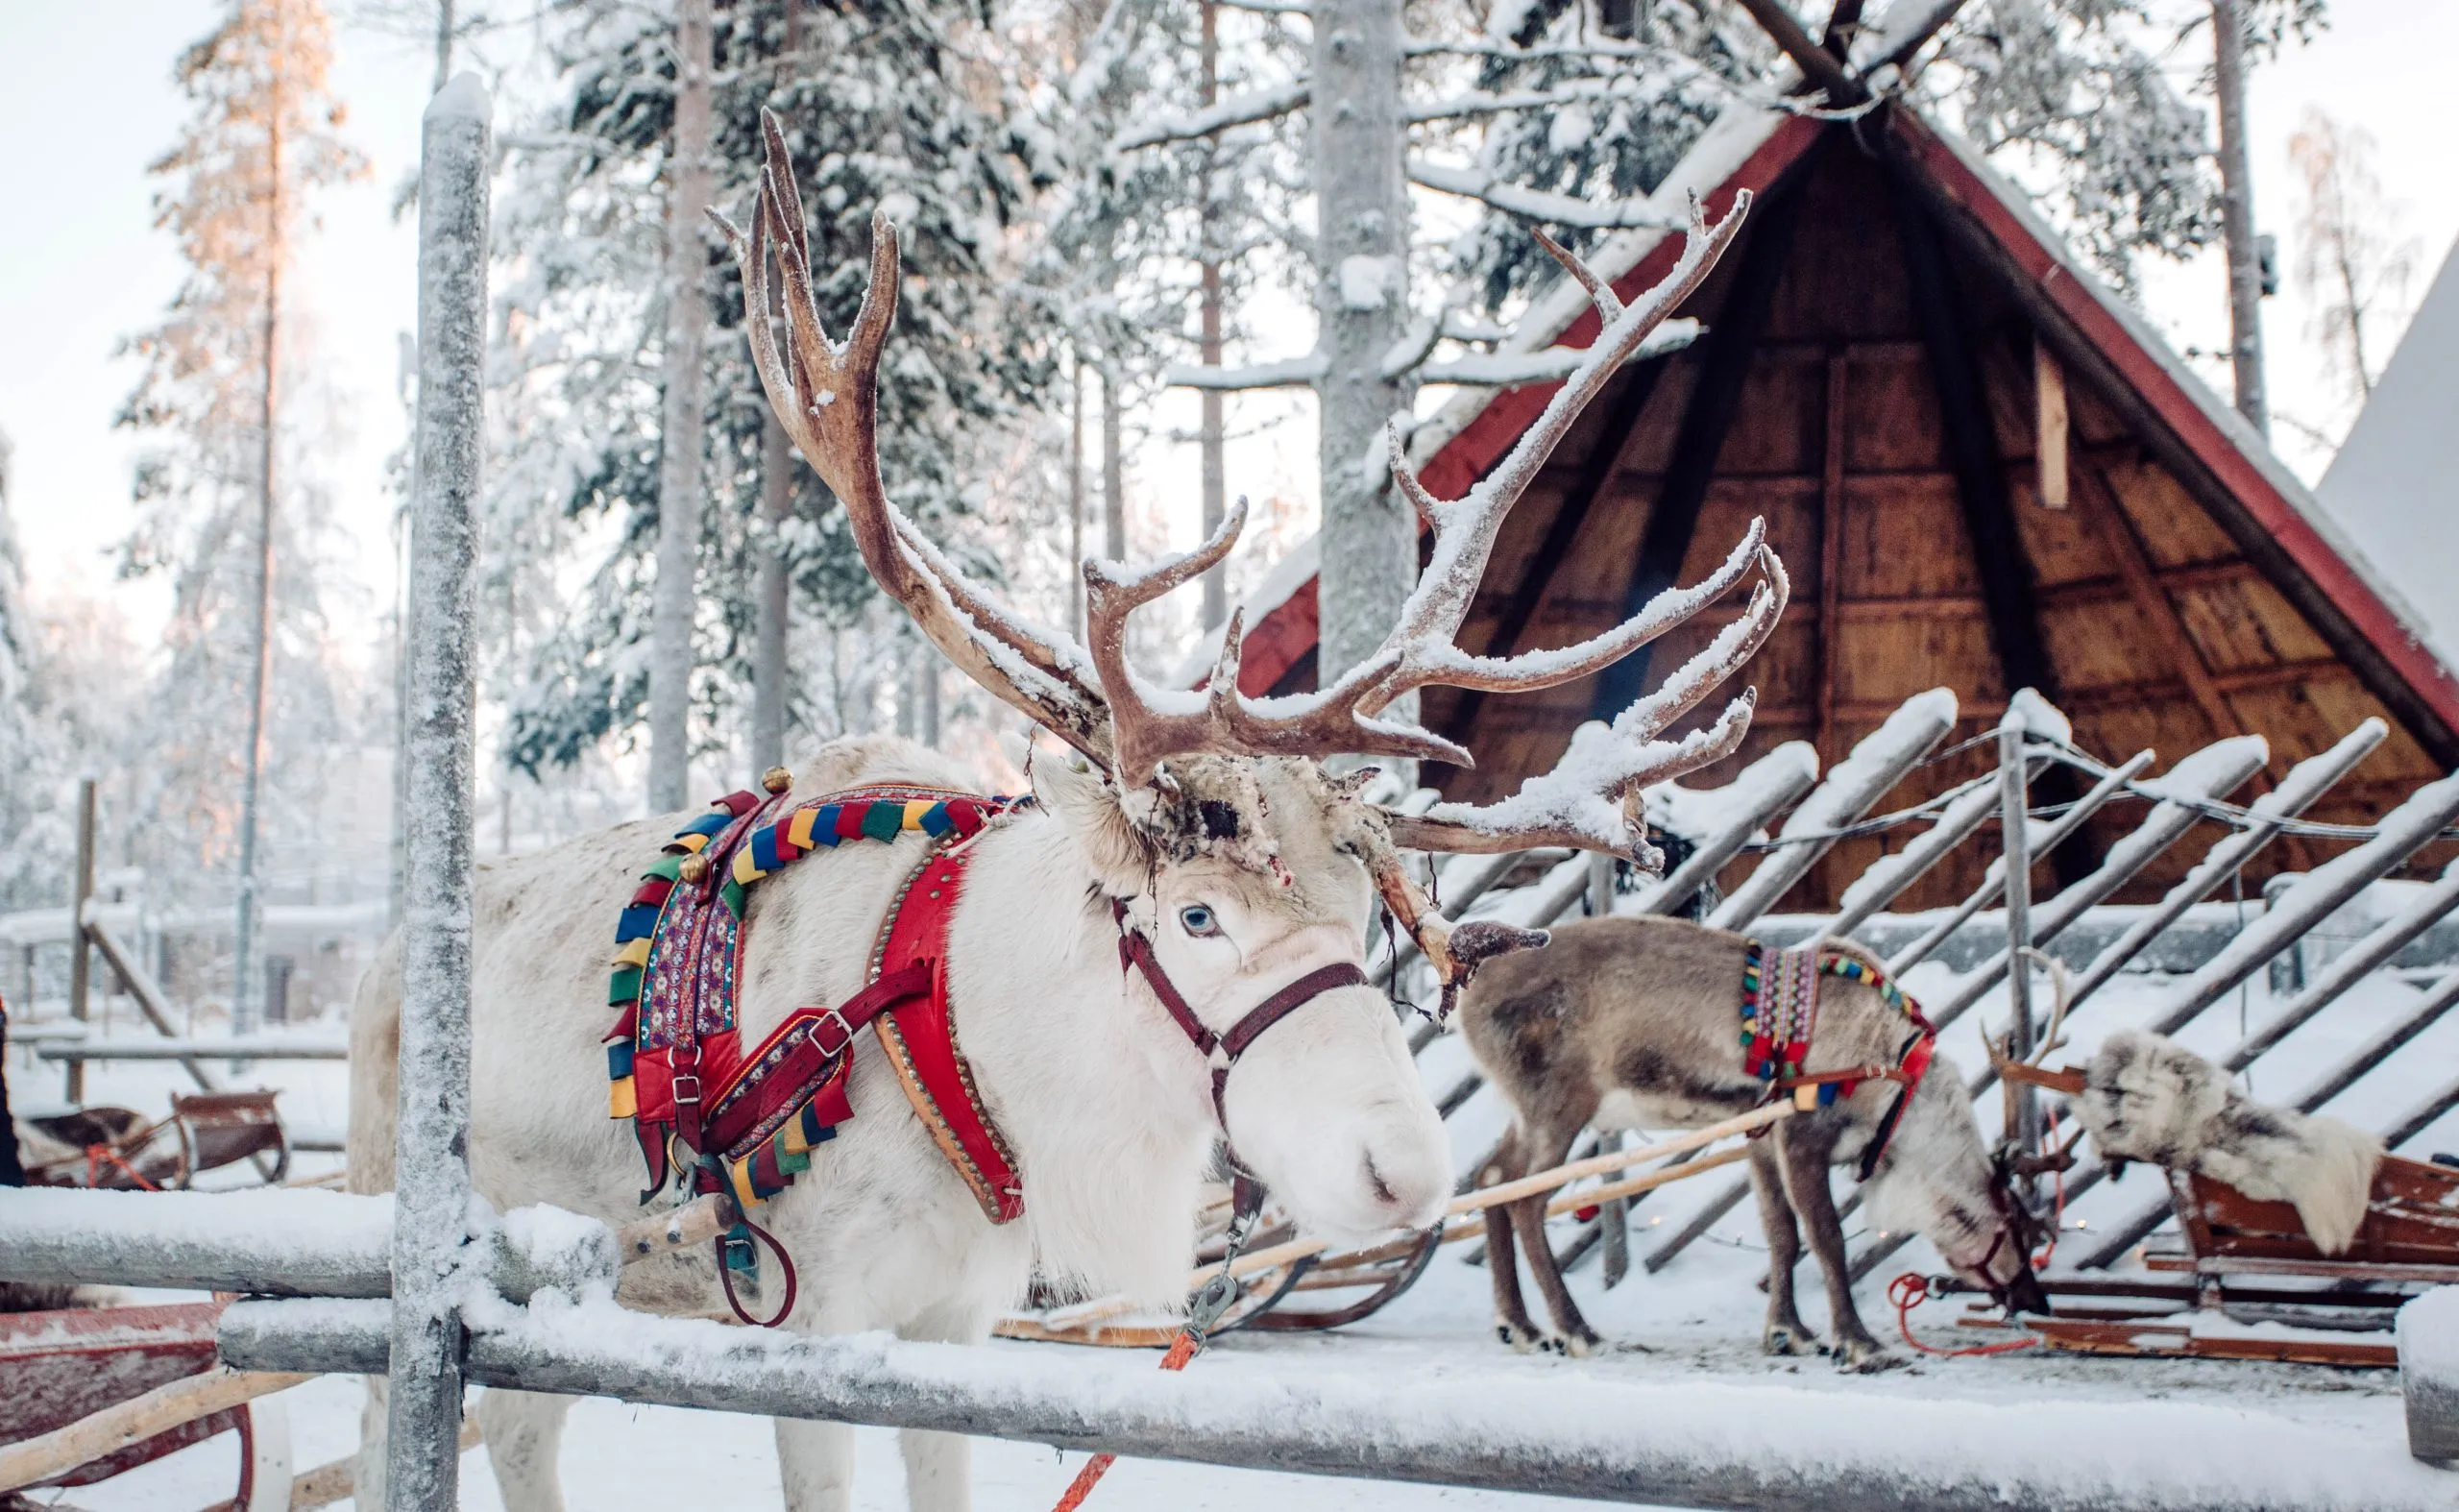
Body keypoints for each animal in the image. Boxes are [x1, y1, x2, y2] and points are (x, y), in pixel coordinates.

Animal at [346, 108, 1784, 1512]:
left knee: (520, 1432)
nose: (1405, 1174)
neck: (968, 1037)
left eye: (1361, 917)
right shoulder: (812, 1318)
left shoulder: (957, 1316)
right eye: (1196, 914)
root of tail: (388, 962)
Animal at [1459, 914, 2049, 1370]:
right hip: (1557, 1106)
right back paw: (1575, 1330)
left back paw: (1519, 1325)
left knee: (1491, 1177)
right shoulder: (1802, 1134)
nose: (2037, 1300)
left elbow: (1780, 1233)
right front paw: (1859, 1343)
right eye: (2022, 1231)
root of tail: (1467, 1002)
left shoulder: (1759, 1136)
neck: (1896, 1092)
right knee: (1526, 1199)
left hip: (1529, 1113)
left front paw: (1790, 1332)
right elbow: (1827, 1238)